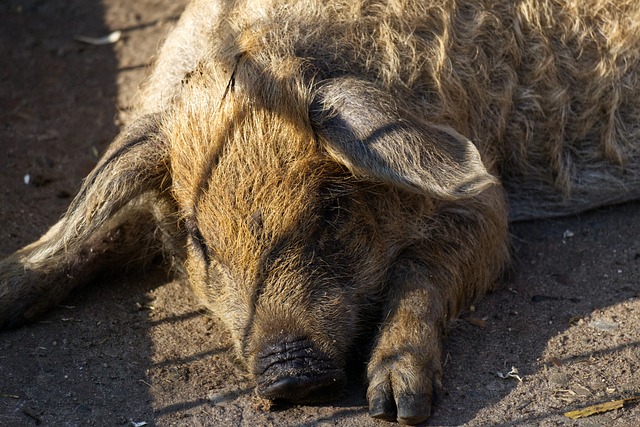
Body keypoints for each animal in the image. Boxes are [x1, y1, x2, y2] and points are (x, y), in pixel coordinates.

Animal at [1, 0, 640, 424]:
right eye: (198, 237)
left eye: (331, 210)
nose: (291, 374)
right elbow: (100, 231)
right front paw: (6, 288)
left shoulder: (486, 198)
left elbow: (425, 268)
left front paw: (397, 407)